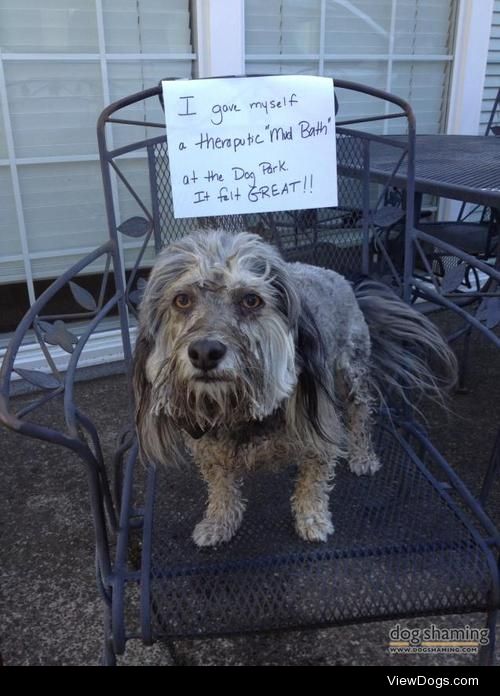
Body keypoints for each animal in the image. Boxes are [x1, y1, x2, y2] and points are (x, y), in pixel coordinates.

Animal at [133, 231, 458, 548]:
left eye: (251, 300)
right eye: (182, 300)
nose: (204, 352)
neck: (243, 413)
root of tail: (342, 279)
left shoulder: (321, 433)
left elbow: (312, 484)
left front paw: (312, 519)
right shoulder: (207, 449)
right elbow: (221, 486)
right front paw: (218, 521)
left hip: (353, 376)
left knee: (361, 417)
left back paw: (362, 456)